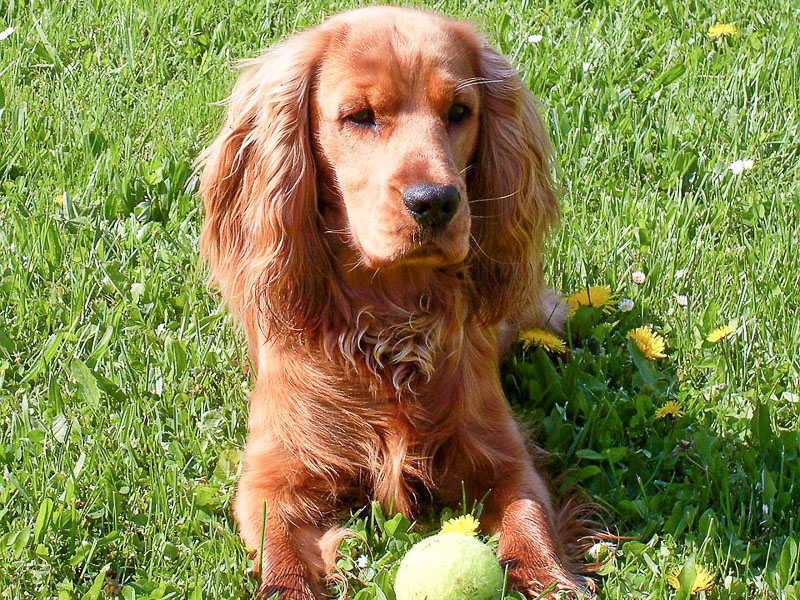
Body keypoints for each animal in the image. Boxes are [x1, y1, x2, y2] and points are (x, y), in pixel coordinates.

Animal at [197, 5, 592, 600]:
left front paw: (552, 578)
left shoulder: (502, 453)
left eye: (459, 112)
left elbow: (530, 518)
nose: (435, 202)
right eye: (359, 117)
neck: (392, 317)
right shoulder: (273, 475)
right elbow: (281, 553)